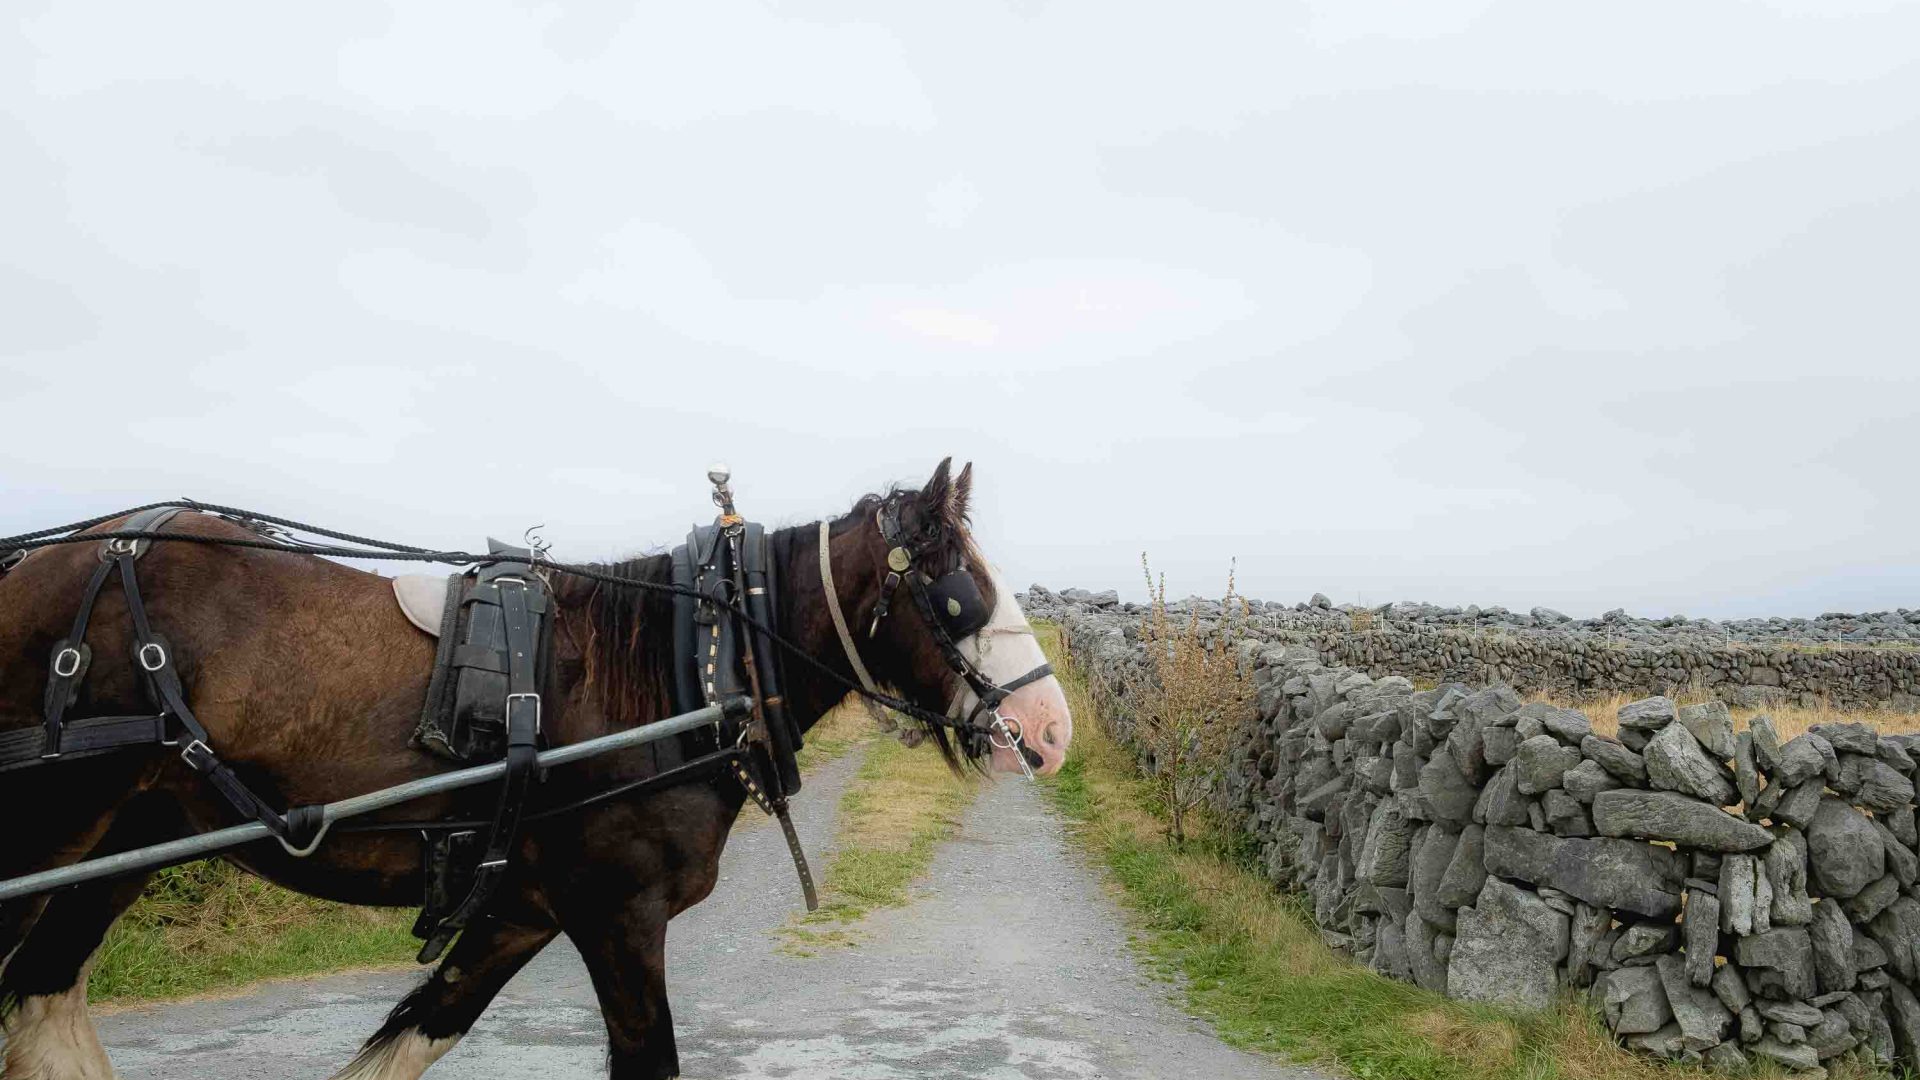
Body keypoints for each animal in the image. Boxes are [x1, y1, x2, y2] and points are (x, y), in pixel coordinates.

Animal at [0, 458, 1073, 1080]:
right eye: (957, 590)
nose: (1052, 728)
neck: (686, 667)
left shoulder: (518, 912)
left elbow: (408, 1042)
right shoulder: (618, 914)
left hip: (131, 841)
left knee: (43, 996)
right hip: (49, 832)